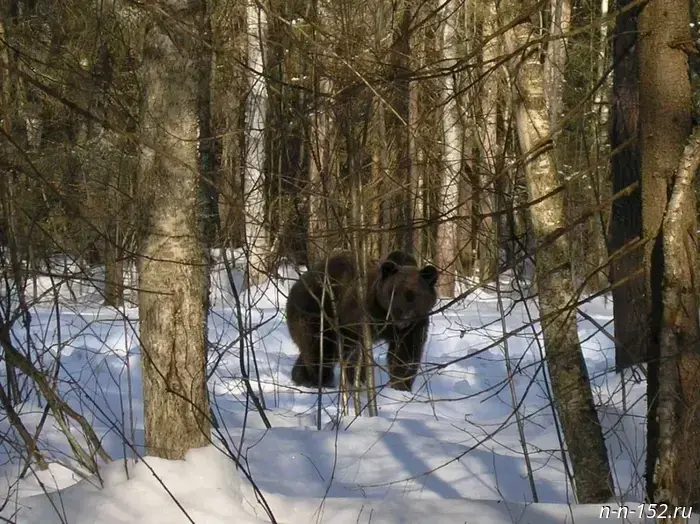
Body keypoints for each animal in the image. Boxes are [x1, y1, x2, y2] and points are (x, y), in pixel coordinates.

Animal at [286, 250, 439, 391]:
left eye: (415, 295)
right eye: (393, 292)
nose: (404, 316)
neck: (386, 318)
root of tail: (297, 284)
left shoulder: (414, 325)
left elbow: (406, 354)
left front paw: (401, 385)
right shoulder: (362, 316)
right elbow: (358, 350)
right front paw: (360, 380)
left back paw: (300, 377)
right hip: (316, 309)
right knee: (319, 347)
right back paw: (321, 381)